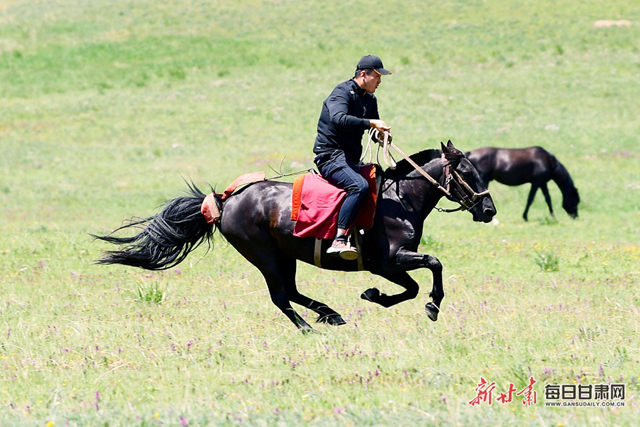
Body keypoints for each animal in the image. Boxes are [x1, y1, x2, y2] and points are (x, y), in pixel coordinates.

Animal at [94, 141, 496, 332]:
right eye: (466, 172)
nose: (489, 210)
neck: (400, 200)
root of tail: (226, 200)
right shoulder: (388, 261)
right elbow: (433, 265)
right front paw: (432, 305)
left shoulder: (387, 266)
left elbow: (412, 287)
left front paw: (376, 296)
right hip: (265, 256)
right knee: (280, 296)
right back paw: (309, 328)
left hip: (284, 256)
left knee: (290, 291)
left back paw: (331, 315)